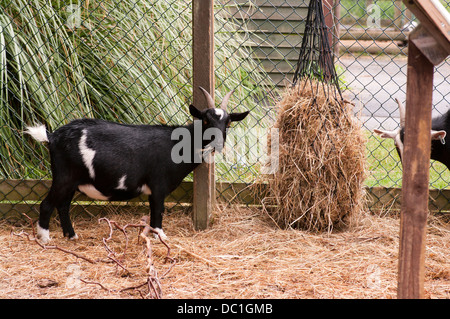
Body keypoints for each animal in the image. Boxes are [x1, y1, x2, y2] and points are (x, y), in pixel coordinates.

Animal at [27, 86, 250, 244]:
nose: (217, 143)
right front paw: (160, 236)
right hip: (63, 177)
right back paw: (45, 239)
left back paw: (71, 236)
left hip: (72, 181)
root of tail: (52, 137)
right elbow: (158, 210)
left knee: (63, 205)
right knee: (47, 204)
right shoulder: (158, 184)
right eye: (205, 120)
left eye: (228, 123)